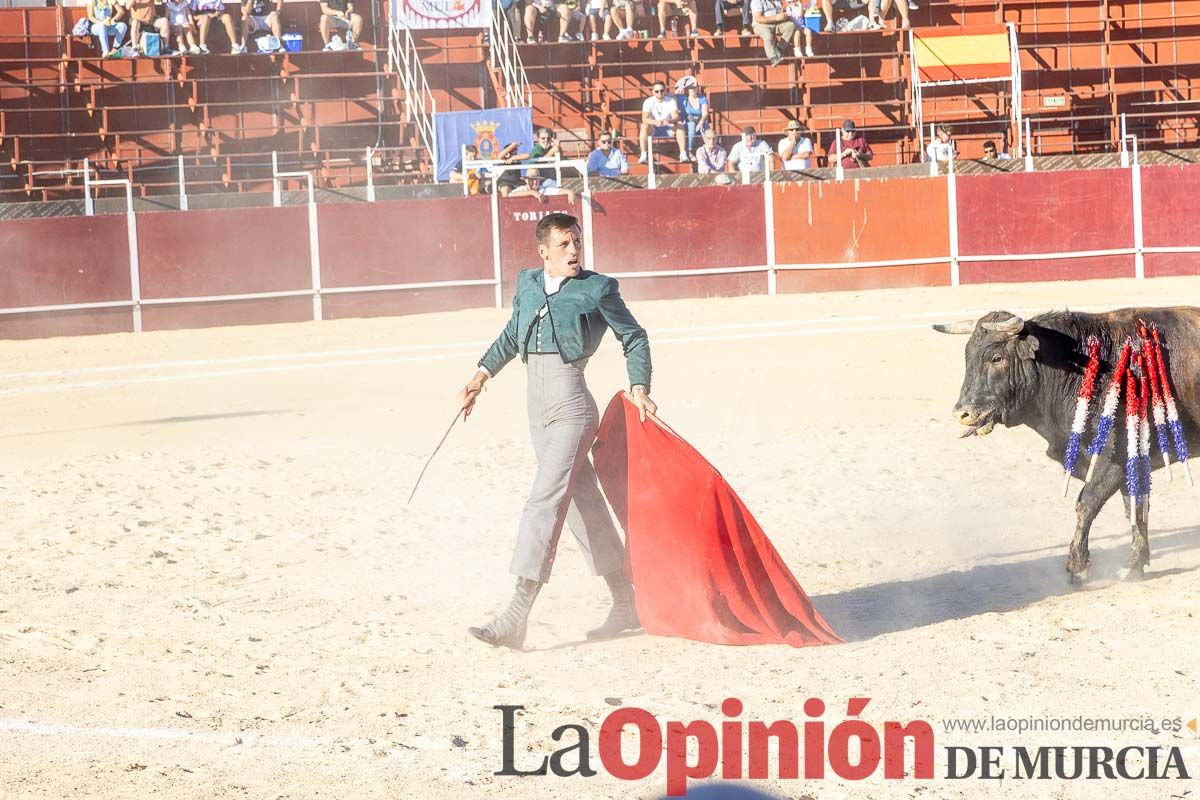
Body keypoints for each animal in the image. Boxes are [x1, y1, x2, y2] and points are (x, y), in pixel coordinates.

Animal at [936, 307, 1200, 582]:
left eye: (996, 358)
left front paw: (1078, 566)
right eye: (967, 356)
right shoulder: (1130, 463)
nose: (962, 413)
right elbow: (1135, 507)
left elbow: (1087, 503)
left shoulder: (1113, 461)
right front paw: (1134, 565)